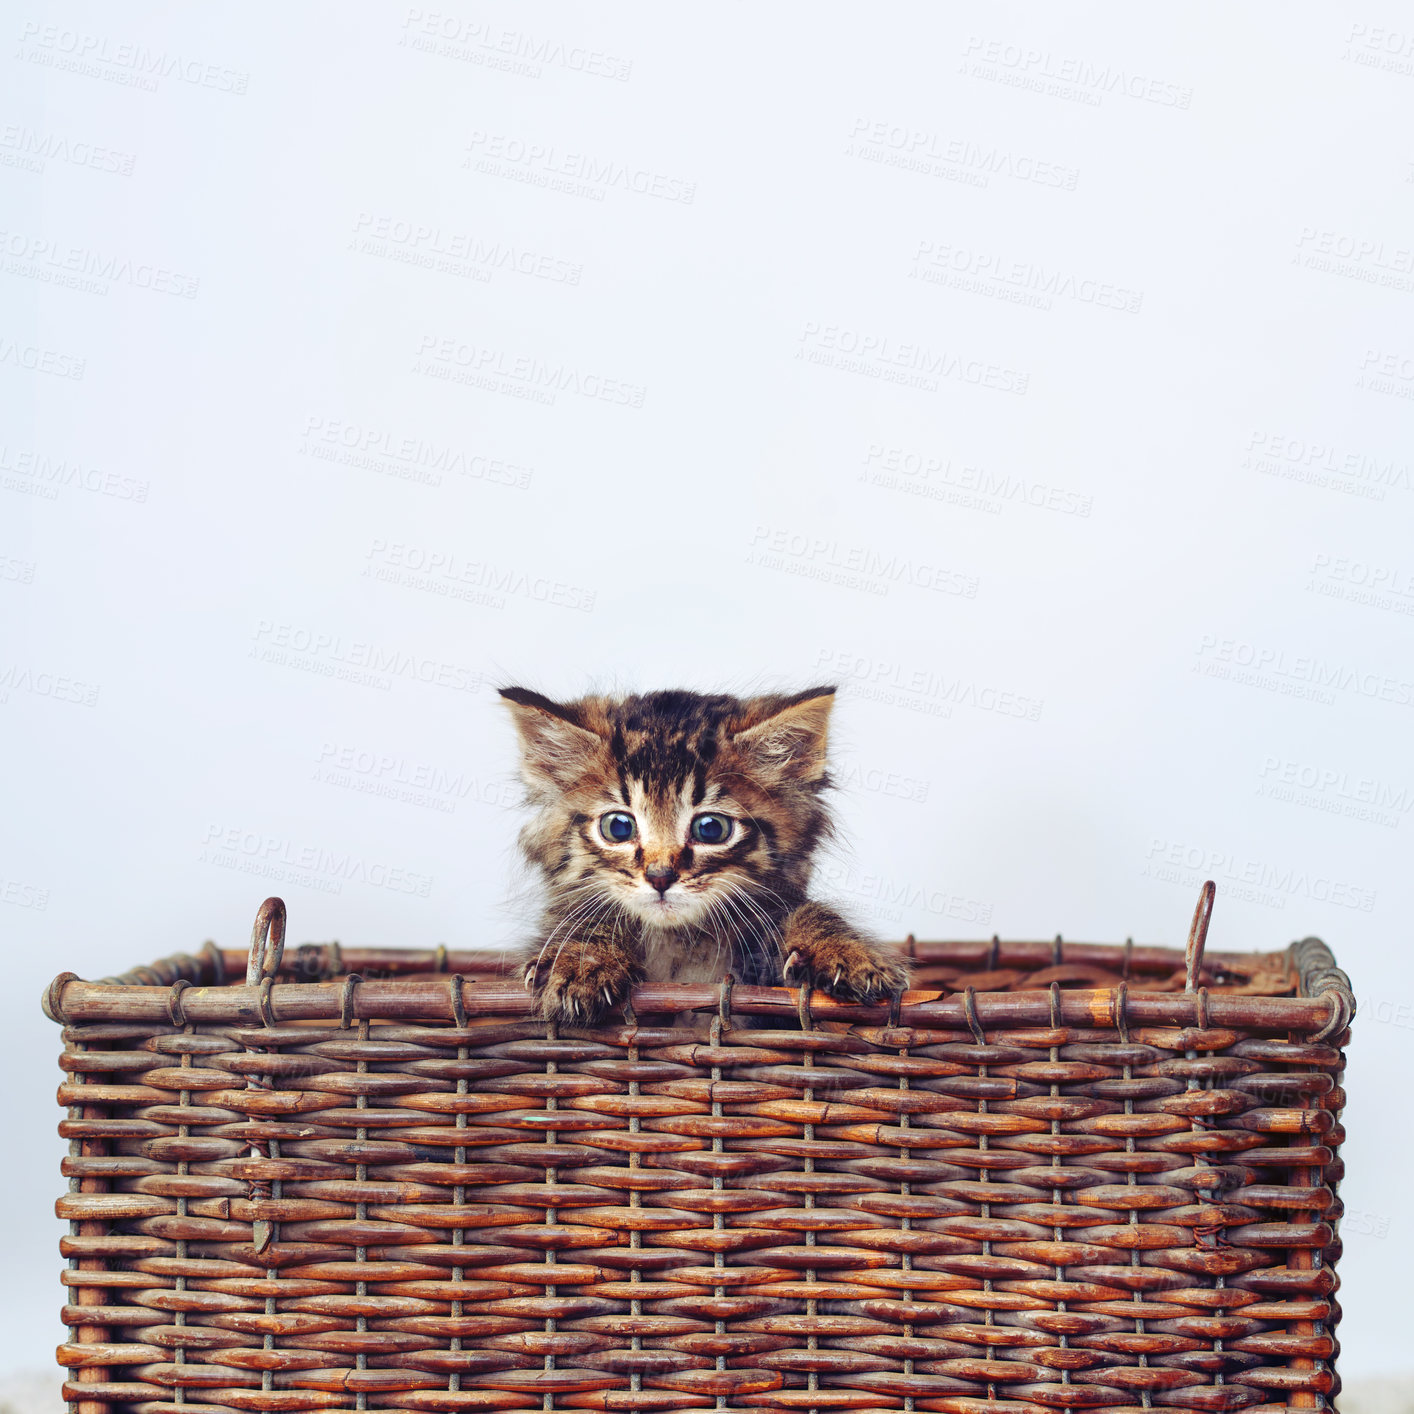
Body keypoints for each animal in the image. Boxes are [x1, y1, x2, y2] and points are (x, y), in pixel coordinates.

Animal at [503, 681, 910, 1023]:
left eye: (710, 829)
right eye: (618, 827)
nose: (660, 877)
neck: (681, 942)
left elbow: (809, 911)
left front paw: (847, 952)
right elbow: (585, 917)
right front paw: (581, 960)